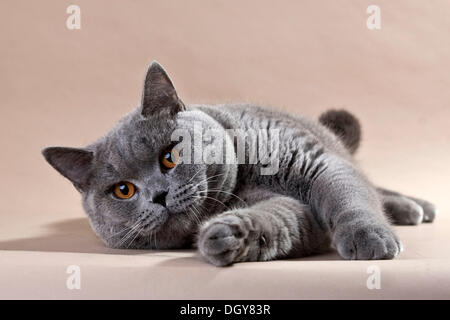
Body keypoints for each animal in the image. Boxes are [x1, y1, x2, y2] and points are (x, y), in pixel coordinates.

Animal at [42, 61, 436, 266]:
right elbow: (285, 218)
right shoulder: (297, 215)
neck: (244, 179)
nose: (157, 195)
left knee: (370, 186)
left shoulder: (314, 160)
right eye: (123, 190)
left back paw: (416, 207)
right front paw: (228, 235)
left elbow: (348, 195)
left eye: (170, 156)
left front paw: (369, 239)